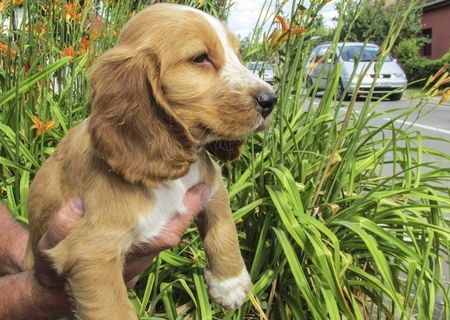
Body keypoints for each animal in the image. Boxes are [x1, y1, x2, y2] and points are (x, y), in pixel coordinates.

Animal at [25, 3, 278, 318]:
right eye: (200, 58)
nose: (270, 100)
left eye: (238, 55)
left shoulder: (211, 183)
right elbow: (113, 309)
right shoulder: (90, 252)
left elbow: (223, 224)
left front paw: (229, 282)